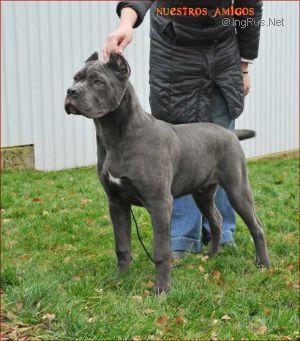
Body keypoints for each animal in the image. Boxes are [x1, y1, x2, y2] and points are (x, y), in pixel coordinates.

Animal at [64, 51, 270, 290]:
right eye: (76, 78)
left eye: (97, 81)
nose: (71, 91)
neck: (116, 135)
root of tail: (231, 133)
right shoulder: (116, 203)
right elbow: (122, 245)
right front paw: (120, 279)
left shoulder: (160, 203)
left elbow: (161, 251)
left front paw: (162, 289)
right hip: (202, 193)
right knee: (216, 220)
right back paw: (212, 255)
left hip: (237, 189)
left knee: (256, 226)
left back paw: (263, 264)